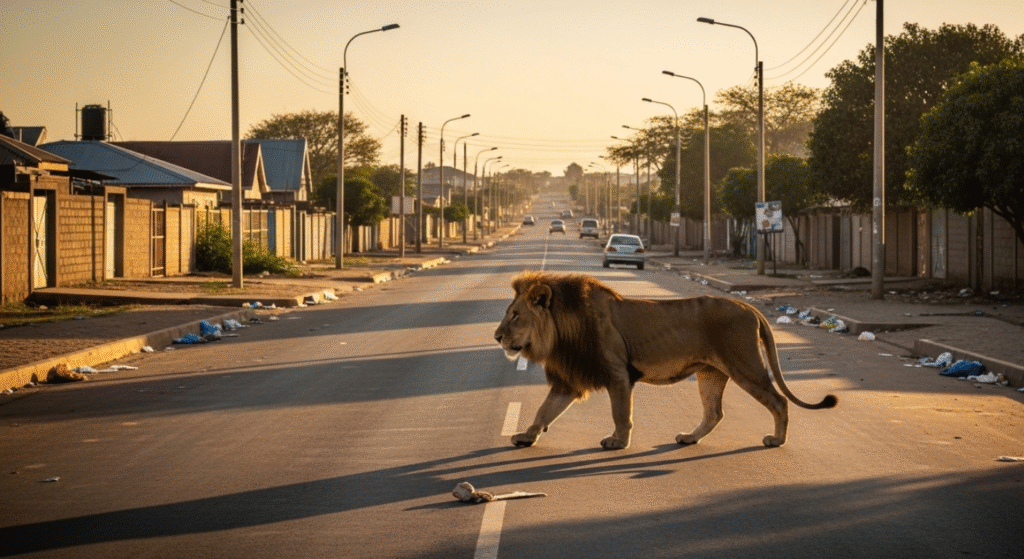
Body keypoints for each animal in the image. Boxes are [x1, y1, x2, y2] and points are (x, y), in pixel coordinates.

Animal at [493, 271, 837, 450]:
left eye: (515, 315)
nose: (496, 336)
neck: (561, 330)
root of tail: (749, 306)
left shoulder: (618, 374)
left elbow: (621, 413)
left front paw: (618, 441)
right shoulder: (569, 380)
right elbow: (544, 410)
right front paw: (527, 436)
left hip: (746, 365)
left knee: (779, 401)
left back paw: (776, 440)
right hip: (711, 373)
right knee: (714, 413)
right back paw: (689, 438)